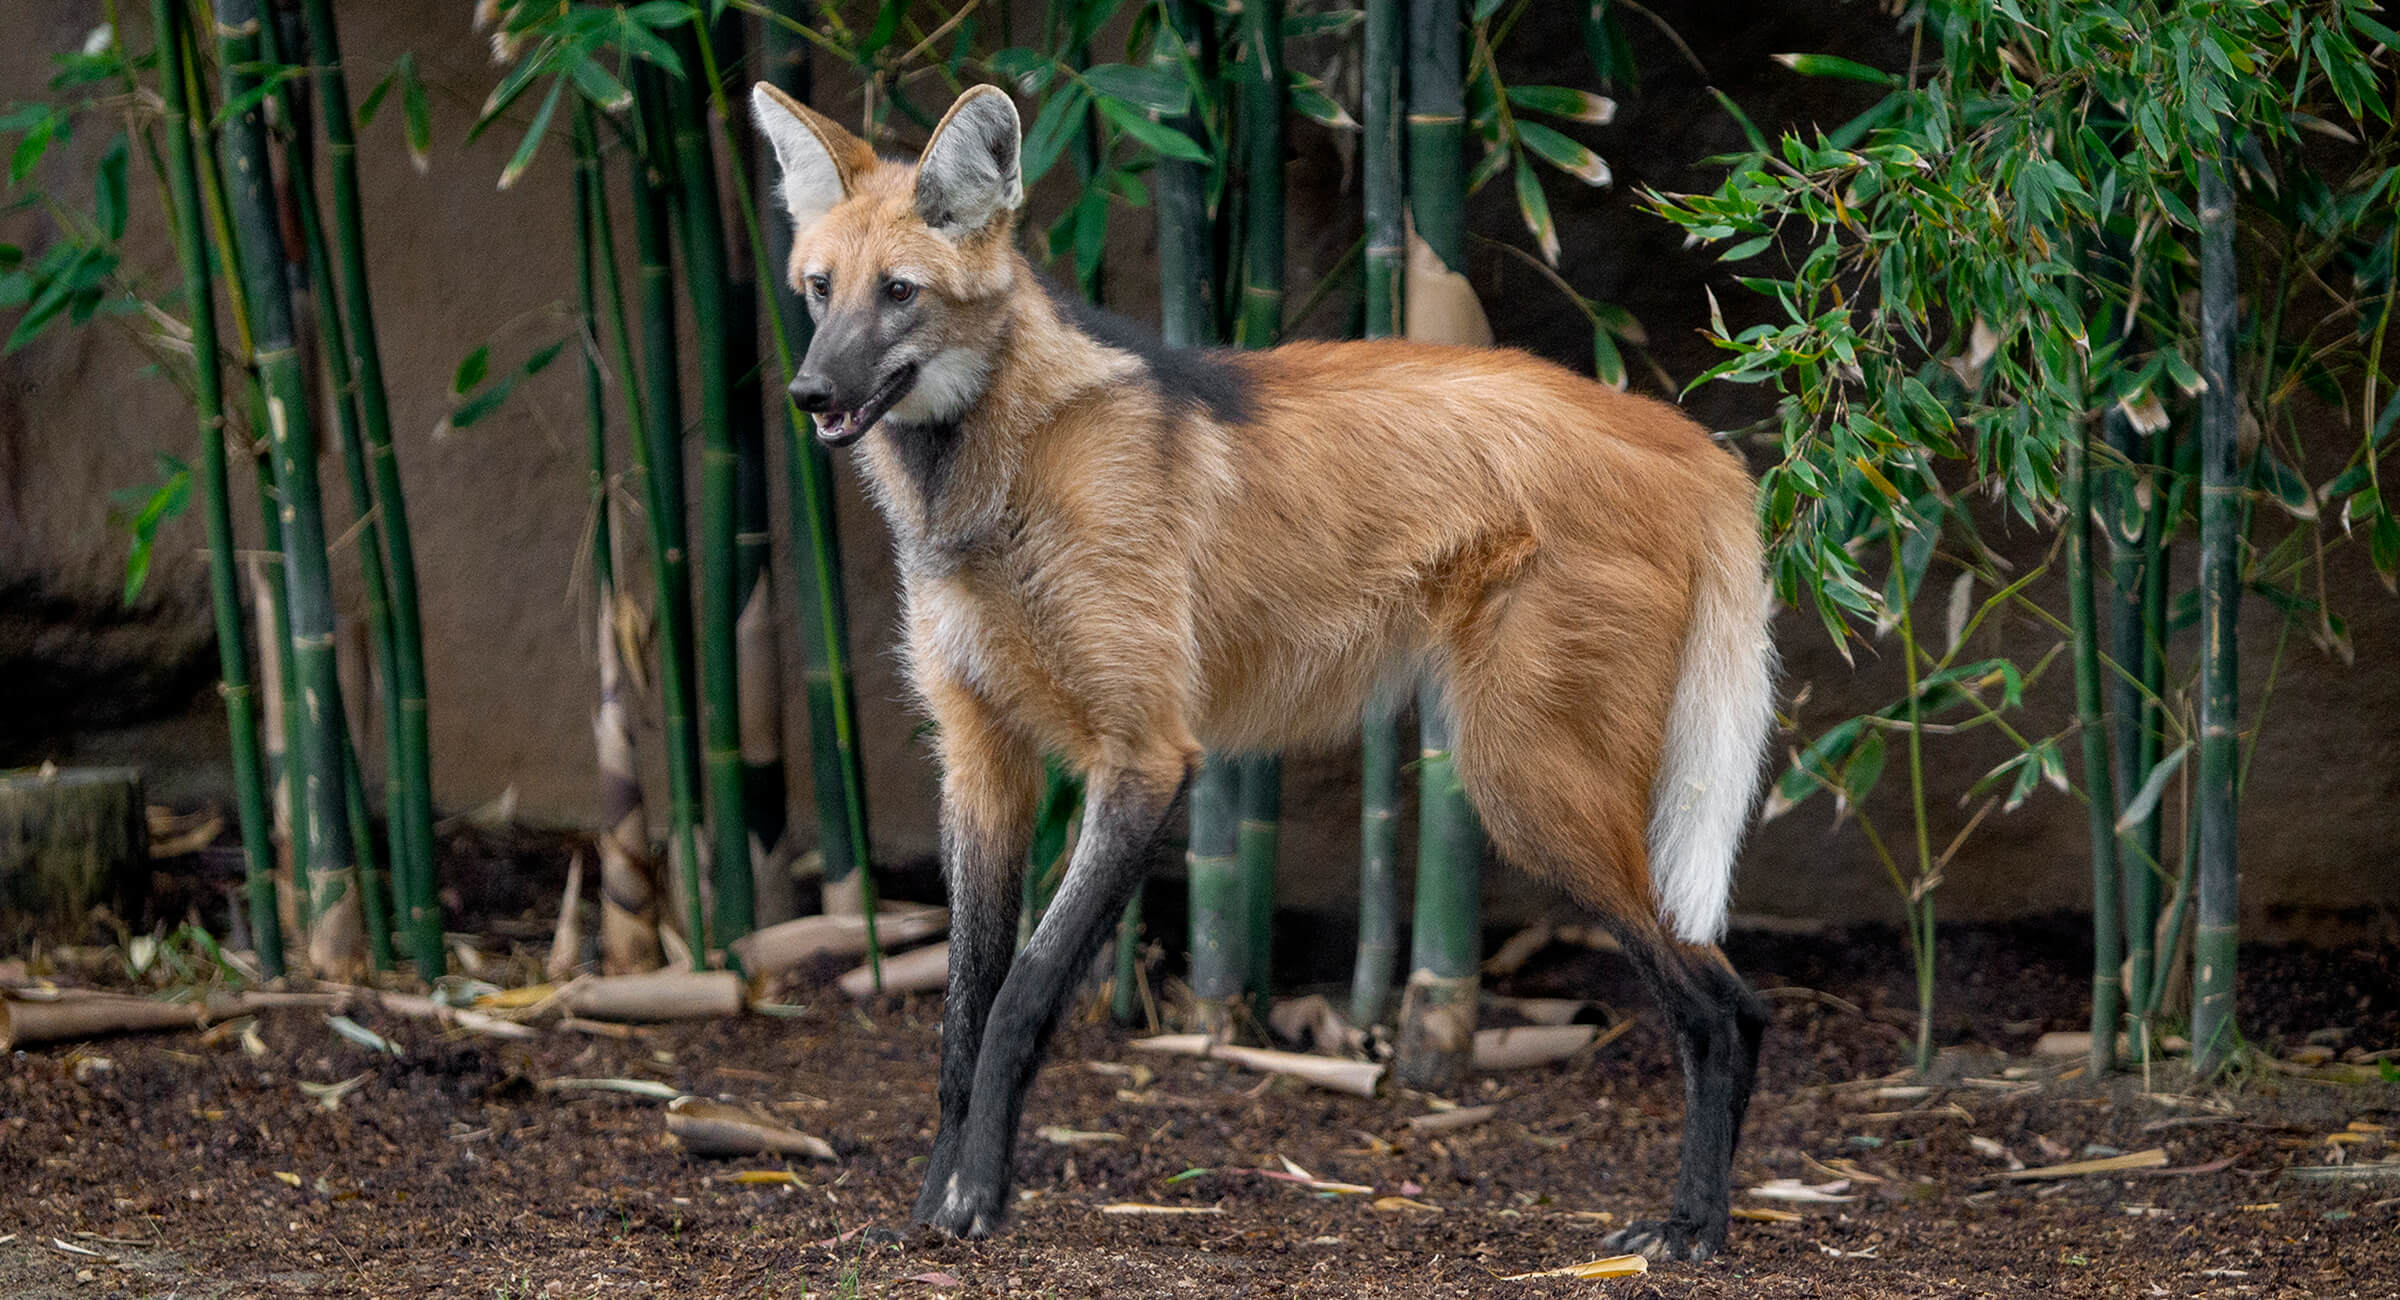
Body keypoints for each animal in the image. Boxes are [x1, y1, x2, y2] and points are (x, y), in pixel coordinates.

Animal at [753, 81, 1785, 1266]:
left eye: (901, 294)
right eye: (819, 289)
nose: (809, 392)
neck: (991, 485)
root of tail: (1688, 440)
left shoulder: (1147, 756)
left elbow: (1021, 998)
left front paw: (975, 1206)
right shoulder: (981, 758)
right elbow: (961, 1015)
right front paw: (937, 1210)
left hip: (1526, 784)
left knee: (1721, 1004)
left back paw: (1693, 1225)